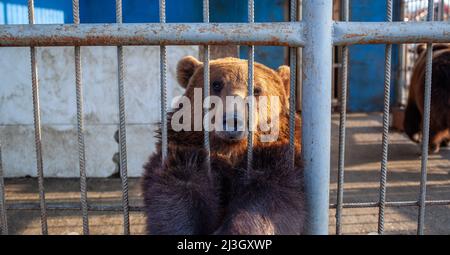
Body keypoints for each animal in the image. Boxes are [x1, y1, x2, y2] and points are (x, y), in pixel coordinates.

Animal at [142, 56, 304, 235]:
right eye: (216, 84)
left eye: (257, 90)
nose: (233, 120)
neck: (230, 151)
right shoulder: (186, 152)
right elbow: (177, 198)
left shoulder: (274, 159)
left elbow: (269, 202)